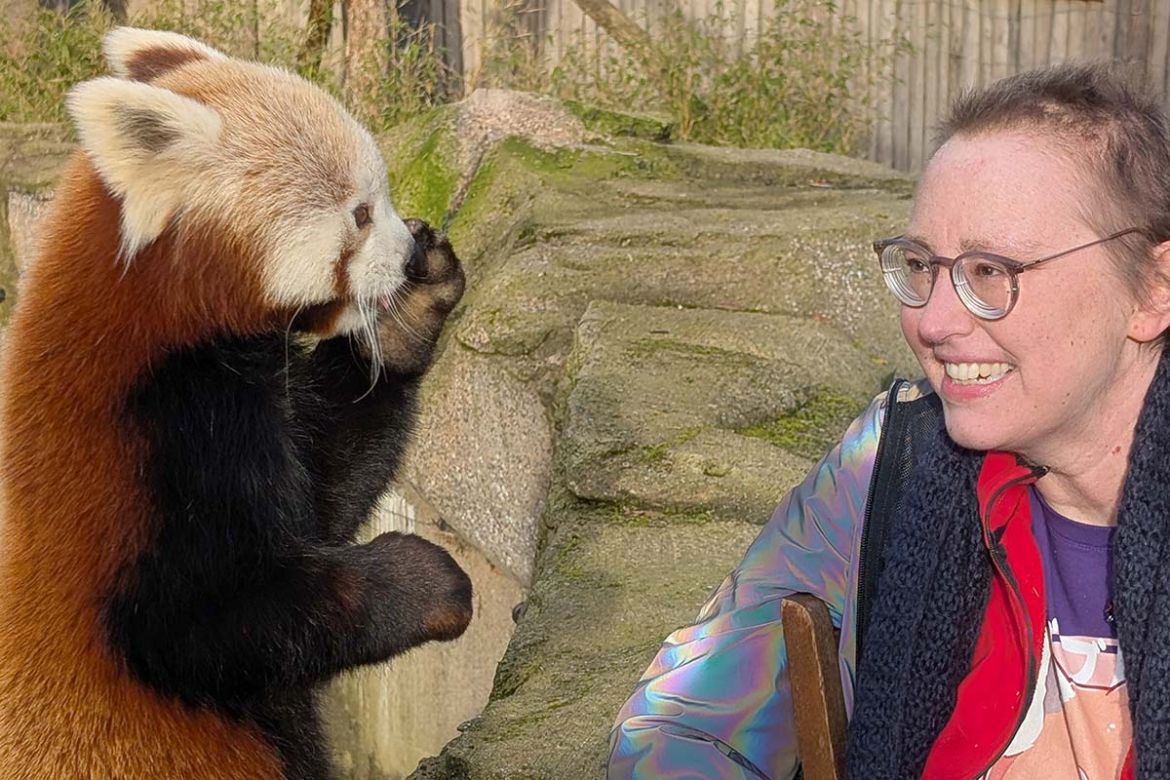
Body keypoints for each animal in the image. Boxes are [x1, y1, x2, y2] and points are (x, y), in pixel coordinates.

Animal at [0, 27, 472, 779]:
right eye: (361, 213)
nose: (406, 253)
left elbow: (322, 489)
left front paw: (408, 315)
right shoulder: (155, 442)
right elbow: (215, 625)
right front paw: (422, 579)